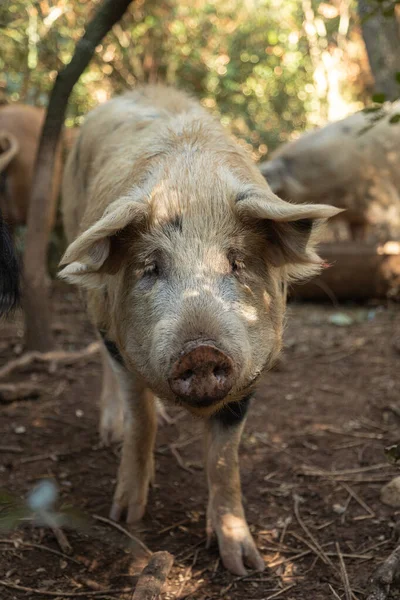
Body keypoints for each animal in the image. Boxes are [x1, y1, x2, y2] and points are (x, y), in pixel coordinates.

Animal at [59, 85, 340, 576]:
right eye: (151, 267)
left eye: (237, 261)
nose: (202, 350)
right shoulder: (122, 347)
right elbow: (142, 420)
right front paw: (126, 517)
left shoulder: (254, 368)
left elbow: (224, 459)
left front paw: (246, 565)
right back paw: (110, 433)